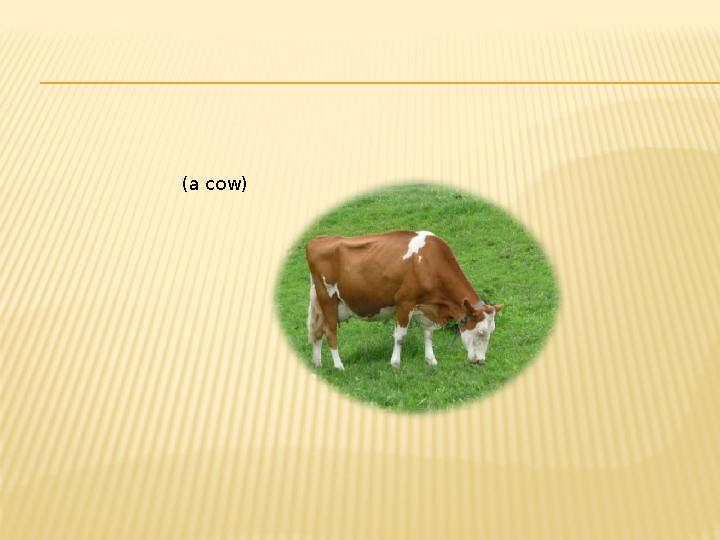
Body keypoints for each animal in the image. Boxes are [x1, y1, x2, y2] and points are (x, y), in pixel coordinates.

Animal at [305, 230, 504, 369]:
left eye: (491, 332)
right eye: (480, 332)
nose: (480, 361)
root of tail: (317, 240)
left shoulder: (425, 306)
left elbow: (428, 333)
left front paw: (431, 360)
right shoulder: (404, 302)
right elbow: (400, 336)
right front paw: (395, 363)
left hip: (324, 304)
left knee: (318, 331)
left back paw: (317, 363)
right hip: (328, 299)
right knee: (330, 332)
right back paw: (339, 366)